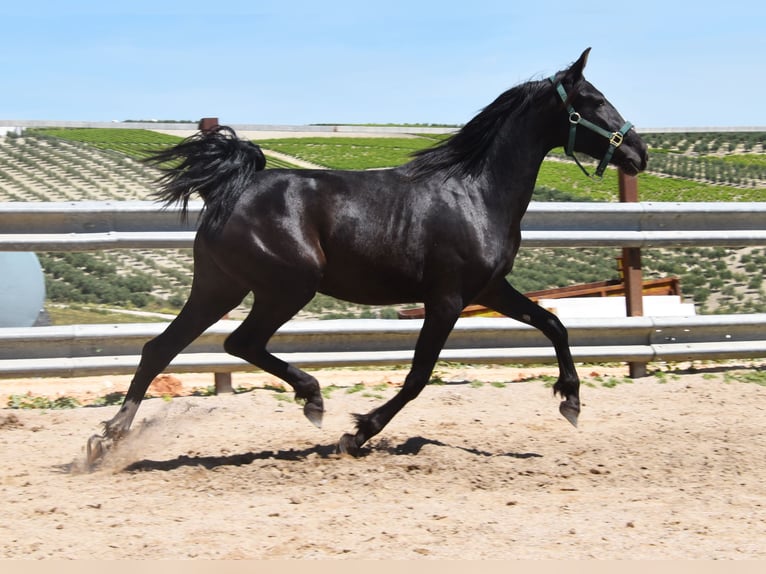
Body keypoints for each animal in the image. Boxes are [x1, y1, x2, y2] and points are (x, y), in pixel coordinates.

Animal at [85, 49, 648, 468]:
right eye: (594, 100)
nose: (639, 153)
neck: (477, 192)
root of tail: (230, 187)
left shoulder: (489, 289)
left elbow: (554, 324)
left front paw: (571, 401)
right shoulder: (447, 299)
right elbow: (419, 374)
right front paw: (358, 433)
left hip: (218, 287)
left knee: (160, 347)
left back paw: (105, 441)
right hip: (287, 286)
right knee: (239, 342)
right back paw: (313, 400)